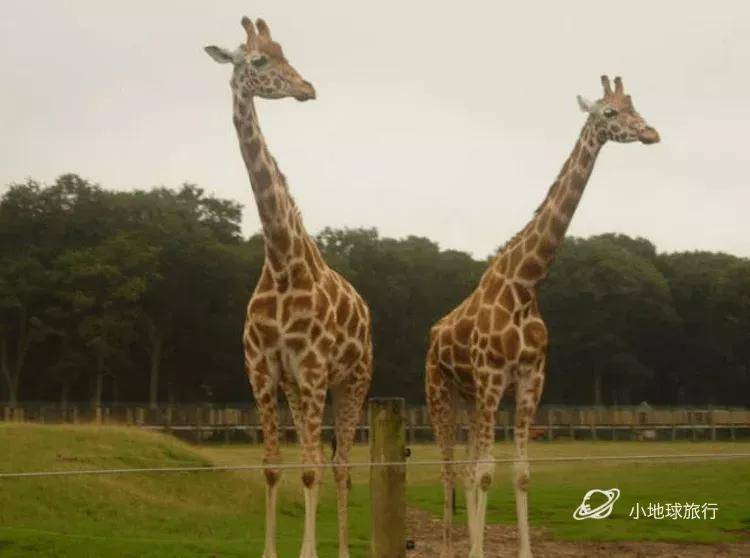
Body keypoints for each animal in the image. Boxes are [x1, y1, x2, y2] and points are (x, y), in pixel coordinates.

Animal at [206, 17, 374, 558]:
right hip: (301, 390)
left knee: (340, 465)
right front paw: (273, 551)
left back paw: (342, 549)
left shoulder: (316, 370)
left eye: (287, 54)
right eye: (259, 60)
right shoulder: (263, 371)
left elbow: (312, 468)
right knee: (319, 456)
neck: (281, 262)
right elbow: (276, 467)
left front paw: (311, 552)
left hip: (353, 379)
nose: (308, 88)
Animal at [426, 75, 660, 558]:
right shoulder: (493, 377)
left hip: (471, 397)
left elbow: (518, 472)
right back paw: (449, 546)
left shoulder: (530, 379)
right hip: (440, 392)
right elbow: (484, 472)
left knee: (468, 468)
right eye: (609, 112)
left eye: (635, 106)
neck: (525, 285)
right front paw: (476, 551)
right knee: (450, 470)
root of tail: (434, 334)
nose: (651, 132)